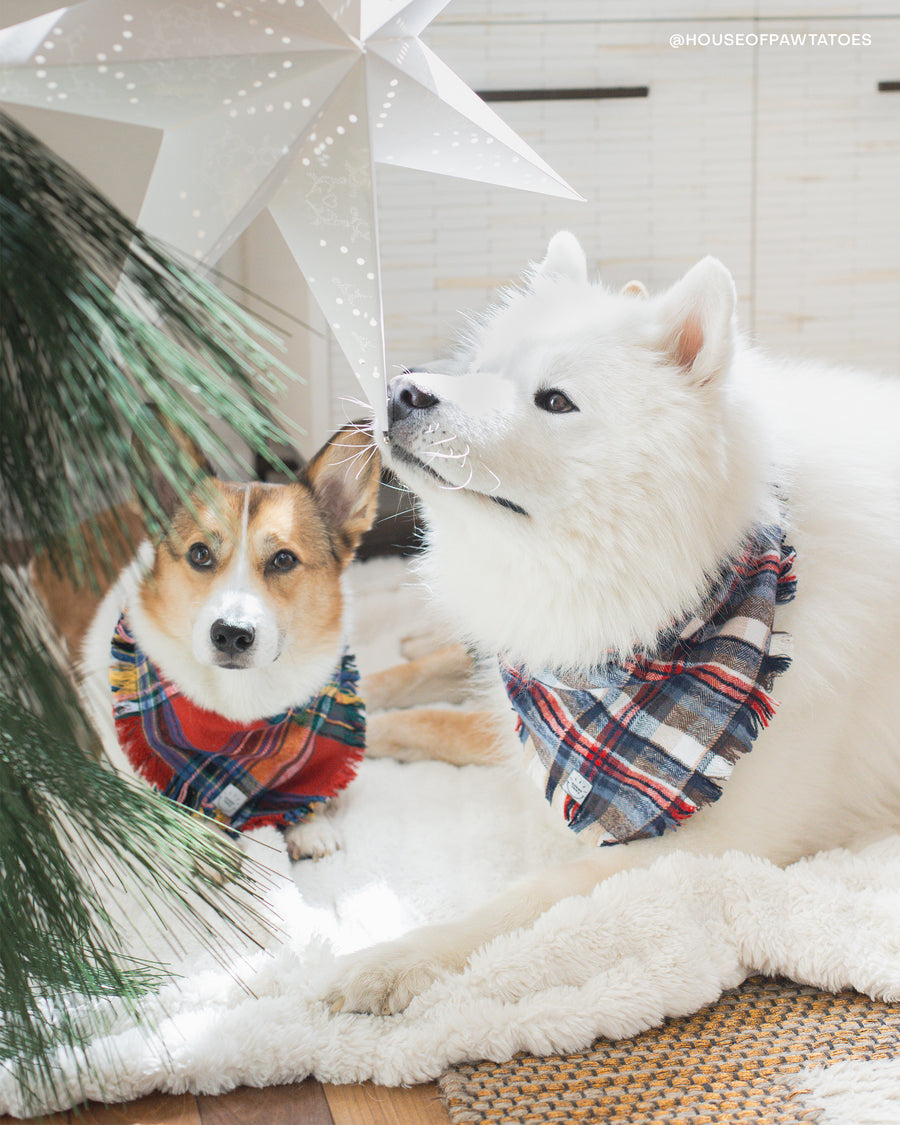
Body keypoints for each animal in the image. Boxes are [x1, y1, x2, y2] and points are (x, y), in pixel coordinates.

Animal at [328, 232, 900, 1017]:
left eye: (555, 400)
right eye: (481, 371)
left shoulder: (714, 843)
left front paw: (397, 956)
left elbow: (522, 892)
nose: (405, 389)